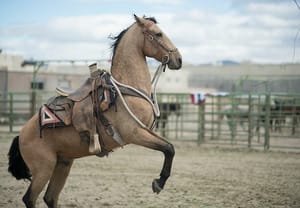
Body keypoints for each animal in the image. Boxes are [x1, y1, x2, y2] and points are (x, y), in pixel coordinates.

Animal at [7, 13, 182, 207]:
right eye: (158, 34)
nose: (179, 59)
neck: (126, 89)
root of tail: (21, 134)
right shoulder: (135, 133)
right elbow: (168, 148)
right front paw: (159, 182)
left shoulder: (145, 131)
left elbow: (169, 147)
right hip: (43, 169)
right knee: (30, 198)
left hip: (63, 164)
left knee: (50, 197)